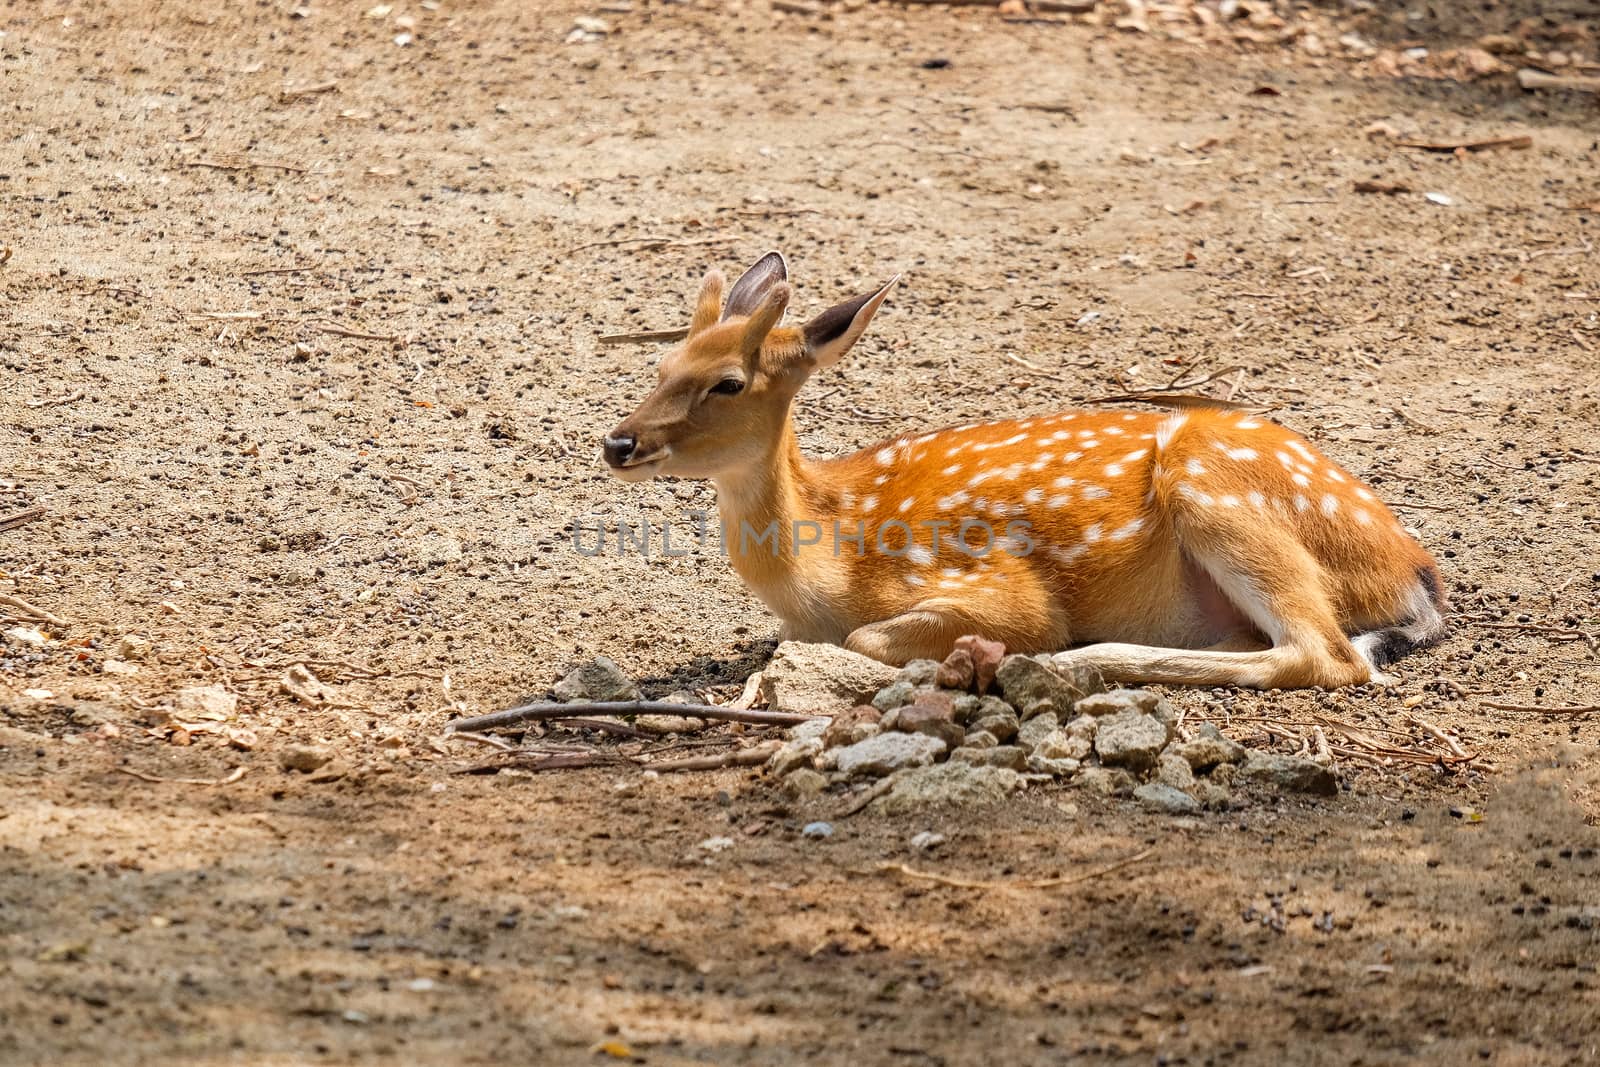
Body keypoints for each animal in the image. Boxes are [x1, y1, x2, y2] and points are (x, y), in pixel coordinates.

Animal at [601, 254, 1452, 694]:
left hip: (1218, 492)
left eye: (727, 384)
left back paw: (1076, 659)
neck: (828, 562)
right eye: (661, 363)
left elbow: (876, 636)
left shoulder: (994, 584)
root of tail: (1418, 574)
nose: (618, 442)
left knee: (1327, 655)